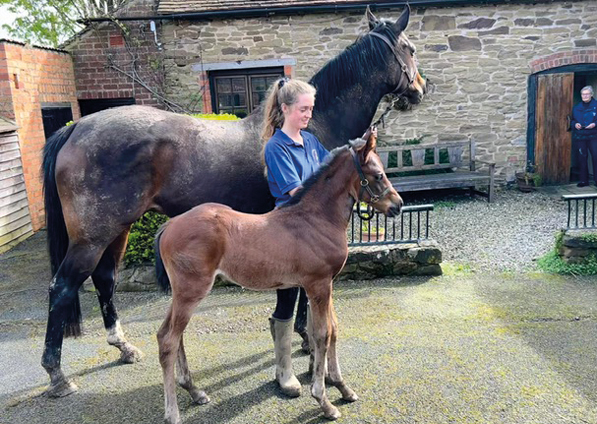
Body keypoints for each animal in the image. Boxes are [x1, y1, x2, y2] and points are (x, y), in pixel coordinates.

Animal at [156, 131, 402, 422]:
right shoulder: (318, 285)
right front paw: (323, 401)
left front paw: (342, 387)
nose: (398, 205)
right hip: (191, 291)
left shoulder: (327, 284)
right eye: (378, 175)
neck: (317, 220)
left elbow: (333, 329)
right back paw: (172, 412)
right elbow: (321, 334)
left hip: (182, 293)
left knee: (168, 334)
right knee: (169, 340)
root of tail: (171, 224)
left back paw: (194, 391)